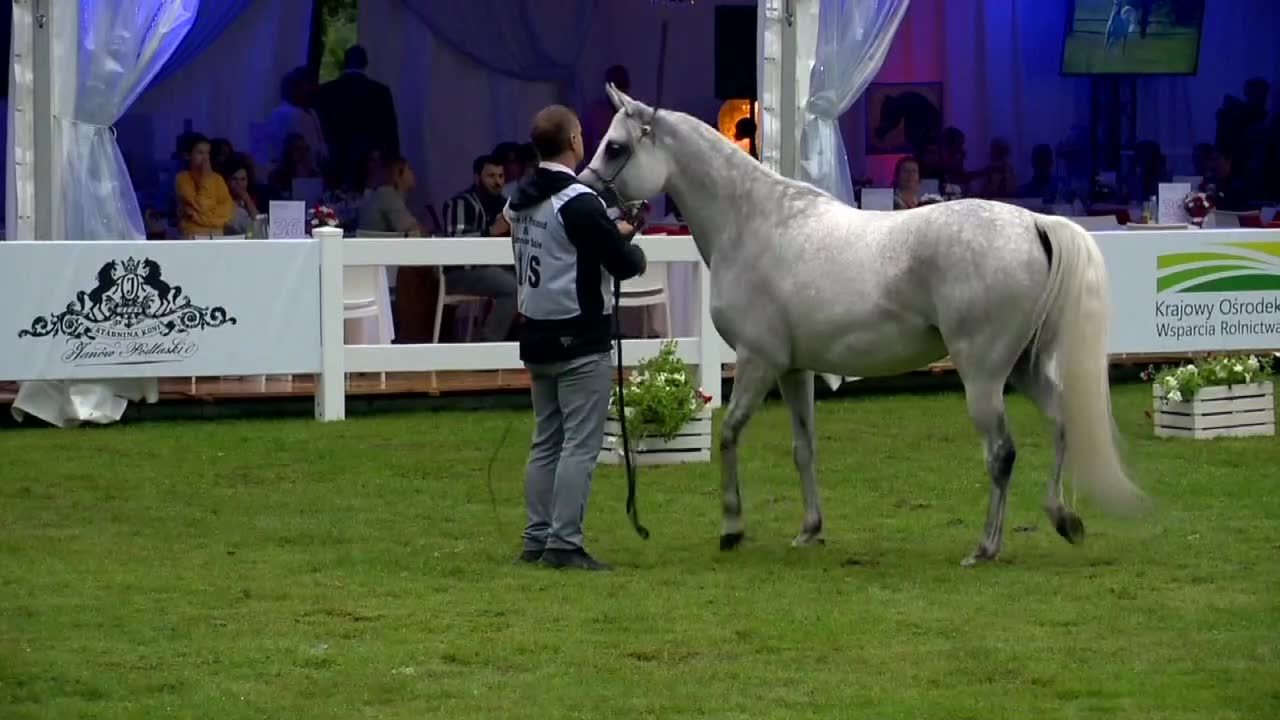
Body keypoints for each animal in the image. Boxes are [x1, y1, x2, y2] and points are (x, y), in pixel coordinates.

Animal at [581, 85, 1152, 566]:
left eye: (614, 147)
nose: (585, 195)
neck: (754, 224)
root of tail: (1033, 223)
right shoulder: (794, 370)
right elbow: (803, 449)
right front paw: (809, 530)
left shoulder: (757, 361)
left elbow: (729, 434)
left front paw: (732, 527)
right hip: (1023, 367)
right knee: (1061, 422)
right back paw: (1064, 519)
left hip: (984, 376)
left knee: (1002, 453)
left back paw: (985, 547)